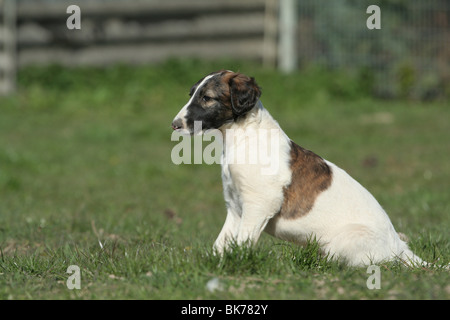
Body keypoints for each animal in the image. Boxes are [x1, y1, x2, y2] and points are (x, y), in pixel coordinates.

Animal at [171, 70, 424, 268]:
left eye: (207, 98)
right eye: (192, 94)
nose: (174, 125)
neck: (243, 136)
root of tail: (399, 246)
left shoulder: (259, 205)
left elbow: (242, 243)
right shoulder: (235, 206)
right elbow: (222, 243)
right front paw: (214, 262)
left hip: (348, 239)